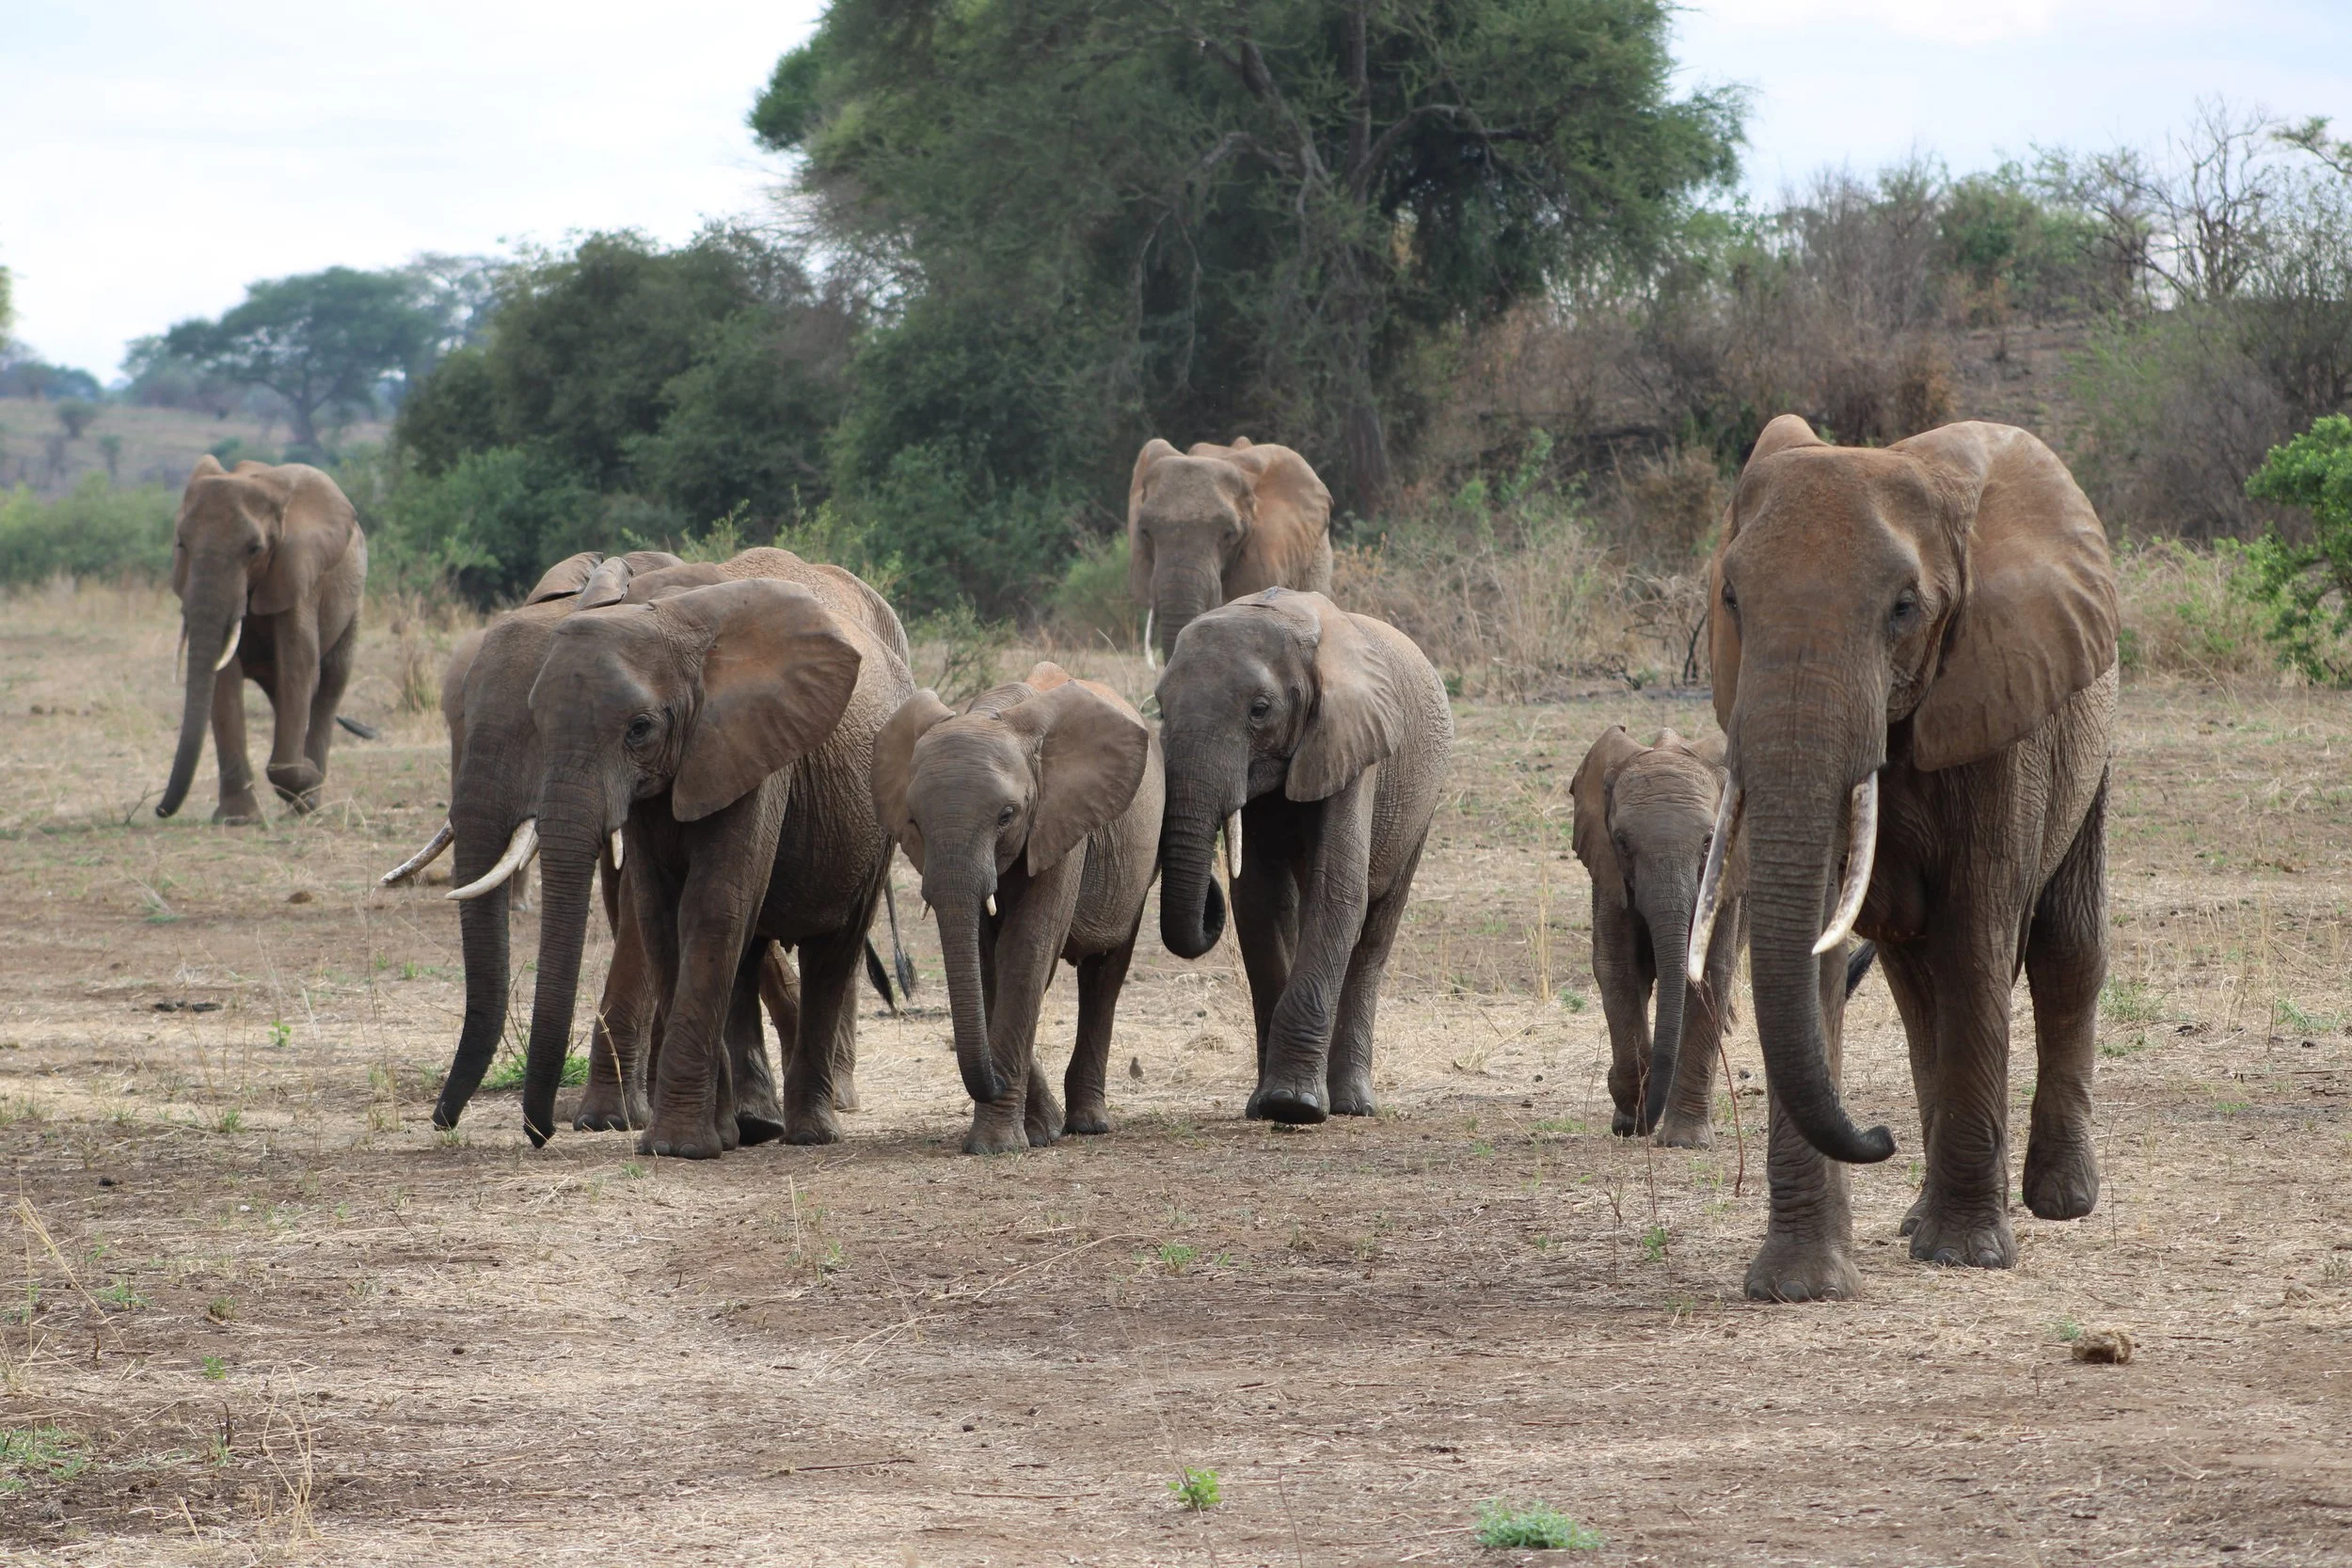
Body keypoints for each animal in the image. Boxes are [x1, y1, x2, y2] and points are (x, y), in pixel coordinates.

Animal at [156, 455, 367, 823]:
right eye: (181, 544)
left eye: (254, 549)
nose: (159, 809)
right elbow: (223, 676)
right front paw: (237, 820)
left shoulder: (299, 574)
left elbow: (299, 666)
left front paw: (305, 778)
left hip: (354, 600)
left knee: (330, 684)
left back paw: (309, 801)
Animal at [514, 548, 913, 1158]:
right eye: (536, 721)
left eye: (639, 729)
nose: (540, 1134)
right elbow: (660, 914)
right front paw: (696, 1140)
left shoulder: (756, 744)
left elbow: (712, 906)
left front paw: (676, 1147)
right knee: (749, 954)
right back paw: (752, 1126)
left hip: (874, 822)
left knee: (832, 951)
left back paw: (809, 1135)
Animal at [873, 662, 1162, 1154]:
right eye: (914, 822)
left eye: (1006, 816)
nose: (993, 1079)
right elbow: (988, 962)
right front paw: (1036, 1131)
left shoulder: (1060, 820)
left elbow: (1026, 951)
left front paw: (996, 1146)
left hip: (1139, 869)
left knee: (1105, 971)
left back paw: (1089, 1123)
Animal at [1155, 588, 1451, 1123]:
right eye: (1161, 708)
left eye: (1259, 709)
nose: (1209, 896)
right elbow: (1260, 902)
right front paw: (1267, 1106)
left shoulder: (1354, 742)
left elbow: (1338, 892)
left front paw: (1293, 1106)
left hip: (1423, 806)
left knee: (1374, 938)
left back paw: (1353, 1105)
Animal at [1696, 415, 2117, 1301]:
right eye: (1731, 600)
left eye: (1903, 608)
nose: (1878, 1133)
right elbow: (1817, 954)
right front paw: (1799, 1286)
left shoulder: (2003, 708)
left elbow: (1978, 936)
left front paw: (1966, 1255)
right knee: (1917, 989)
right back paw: (1920, 1216)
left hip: (2093, 738)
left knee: (2064, 948)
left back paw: (2058, 1200)